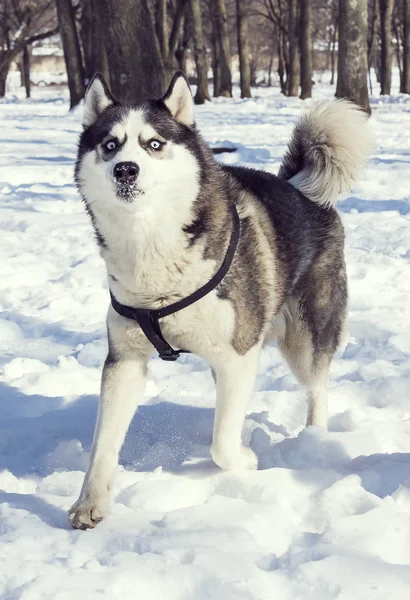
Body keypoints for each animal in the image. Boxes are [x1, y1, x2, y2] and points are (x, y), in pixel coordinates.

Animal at [69, 72, 372, 528]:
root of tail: (299, 187)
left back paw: (314, 437)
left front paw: (246, 461)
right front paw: (90, 503)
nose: (125, 169)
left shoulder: (239, 354)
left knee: (317, 387)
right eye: (109, 144)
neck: (152, 248)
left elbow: (222, 444)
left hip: (306, 338)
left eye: (153, 143)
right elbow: (104, 442)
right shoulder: (124, 360)